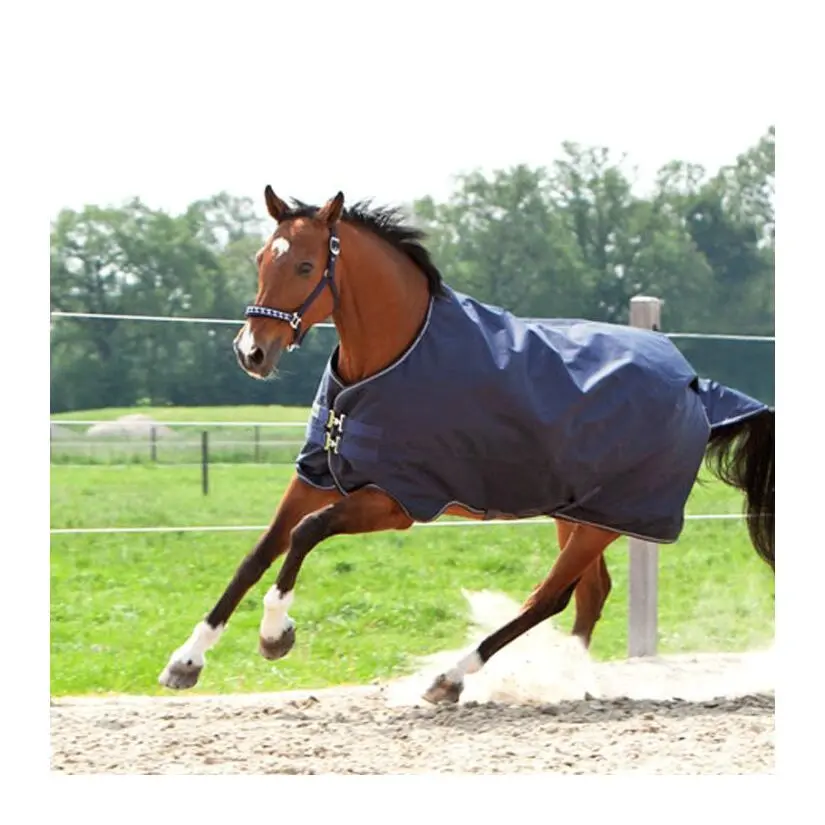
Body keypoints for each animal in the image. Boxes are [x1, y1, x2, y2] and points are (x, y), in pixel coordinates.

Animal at [158, 187, 775, 704]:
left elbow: (306, 535)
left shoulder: (396, 501)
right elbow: (258, 553)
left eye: (306, 265)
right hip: (577, 513)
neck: (385, 366)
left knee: (551, 596)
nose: (251, 352)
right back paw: (562, 679)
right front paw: (186, 661)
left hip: (609, 517)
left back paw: (451, 679)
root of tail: (695, 384)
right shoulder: (316, 474)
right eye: (262, 259)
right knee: (590, 591)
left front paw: (275, 635)